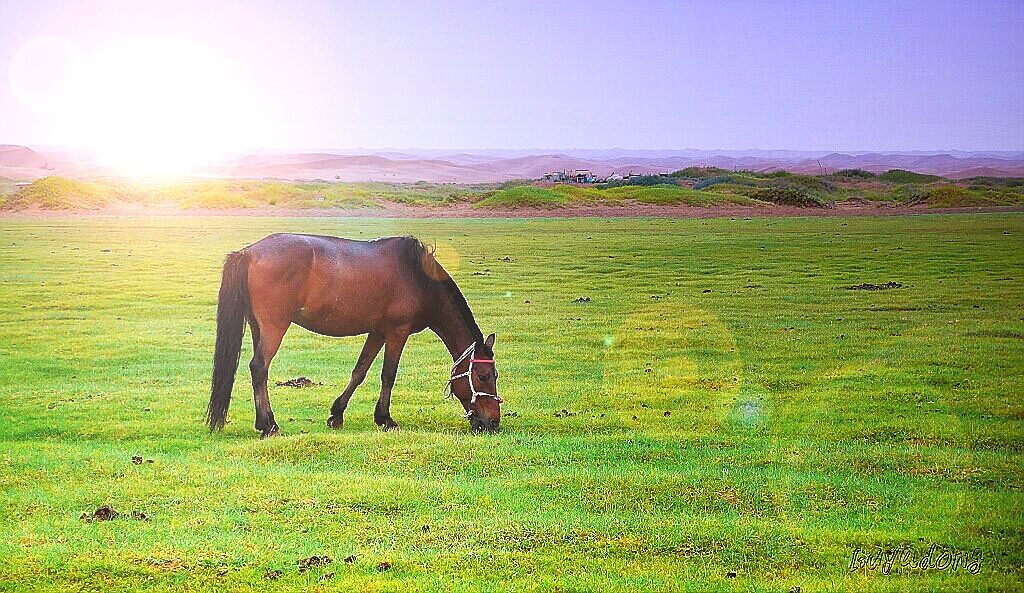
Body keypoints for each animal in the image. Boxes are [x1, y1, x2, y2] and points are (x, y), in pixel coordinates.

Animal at [205, 234, 501, 438]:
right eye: (483, 376)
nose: (493, 422)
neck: (419, 277)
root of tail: (248, 252)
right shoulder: (397, 331)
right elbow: (388, 374)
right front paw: (385, 419)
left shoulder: (378, 331)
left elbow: (359, 371)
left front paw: (337, 413)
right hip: (274, 327)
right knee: (259, 367)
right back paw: (269, 424)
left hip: (258, 328)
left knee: (260, 371)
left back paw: (263, 421)